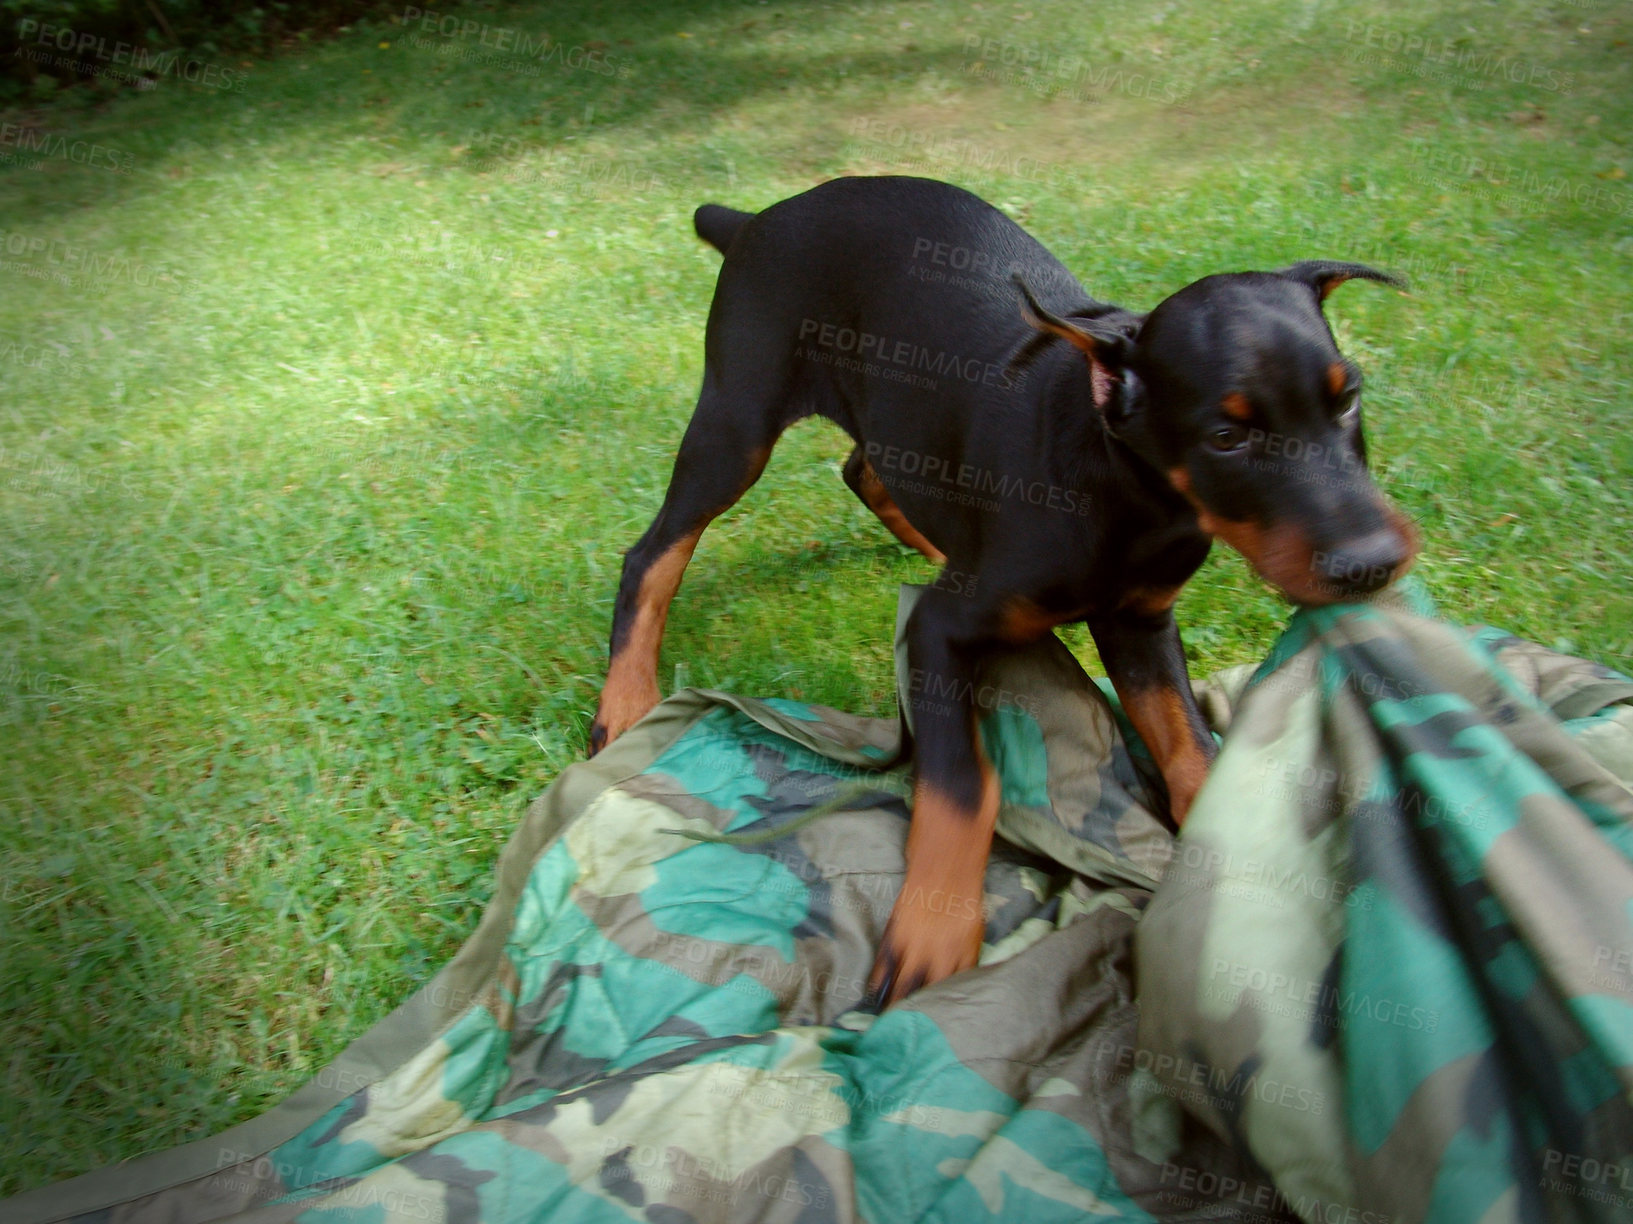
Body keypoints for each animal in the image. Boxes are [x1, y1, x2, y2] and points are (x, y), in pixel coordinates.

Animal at [591, 177, 1417, 1011]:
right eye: (1225, 437)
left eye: (1348, 398)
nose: (1373, 564)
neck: (1127, 490)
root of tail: (758, 218)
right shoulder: (936, 630)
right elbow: (963, 784)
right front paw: (931, 929)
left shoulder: (1141, 623)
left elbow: (1188, 745)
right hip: (738, 418)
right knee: (652, 554)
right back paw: (625, 700)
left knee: (864, 467)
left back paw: (932, 541)